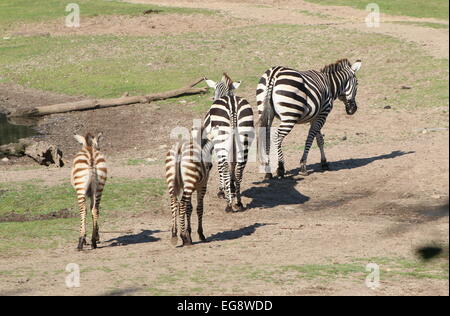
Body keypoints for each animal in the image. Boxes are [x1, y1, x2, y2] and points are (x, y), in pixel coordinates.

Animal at [203, 72, 253, 212]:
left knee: (224, 165)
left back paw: (229, 205)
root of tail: (233, 105)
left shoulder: (214, 144)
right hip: (244, 138)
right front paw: (231, 186)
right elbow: (233, 164)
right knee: (240, 168)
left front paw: (223, 190)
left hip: (222, 140)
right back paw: (238, 202)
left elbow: (220, 166)